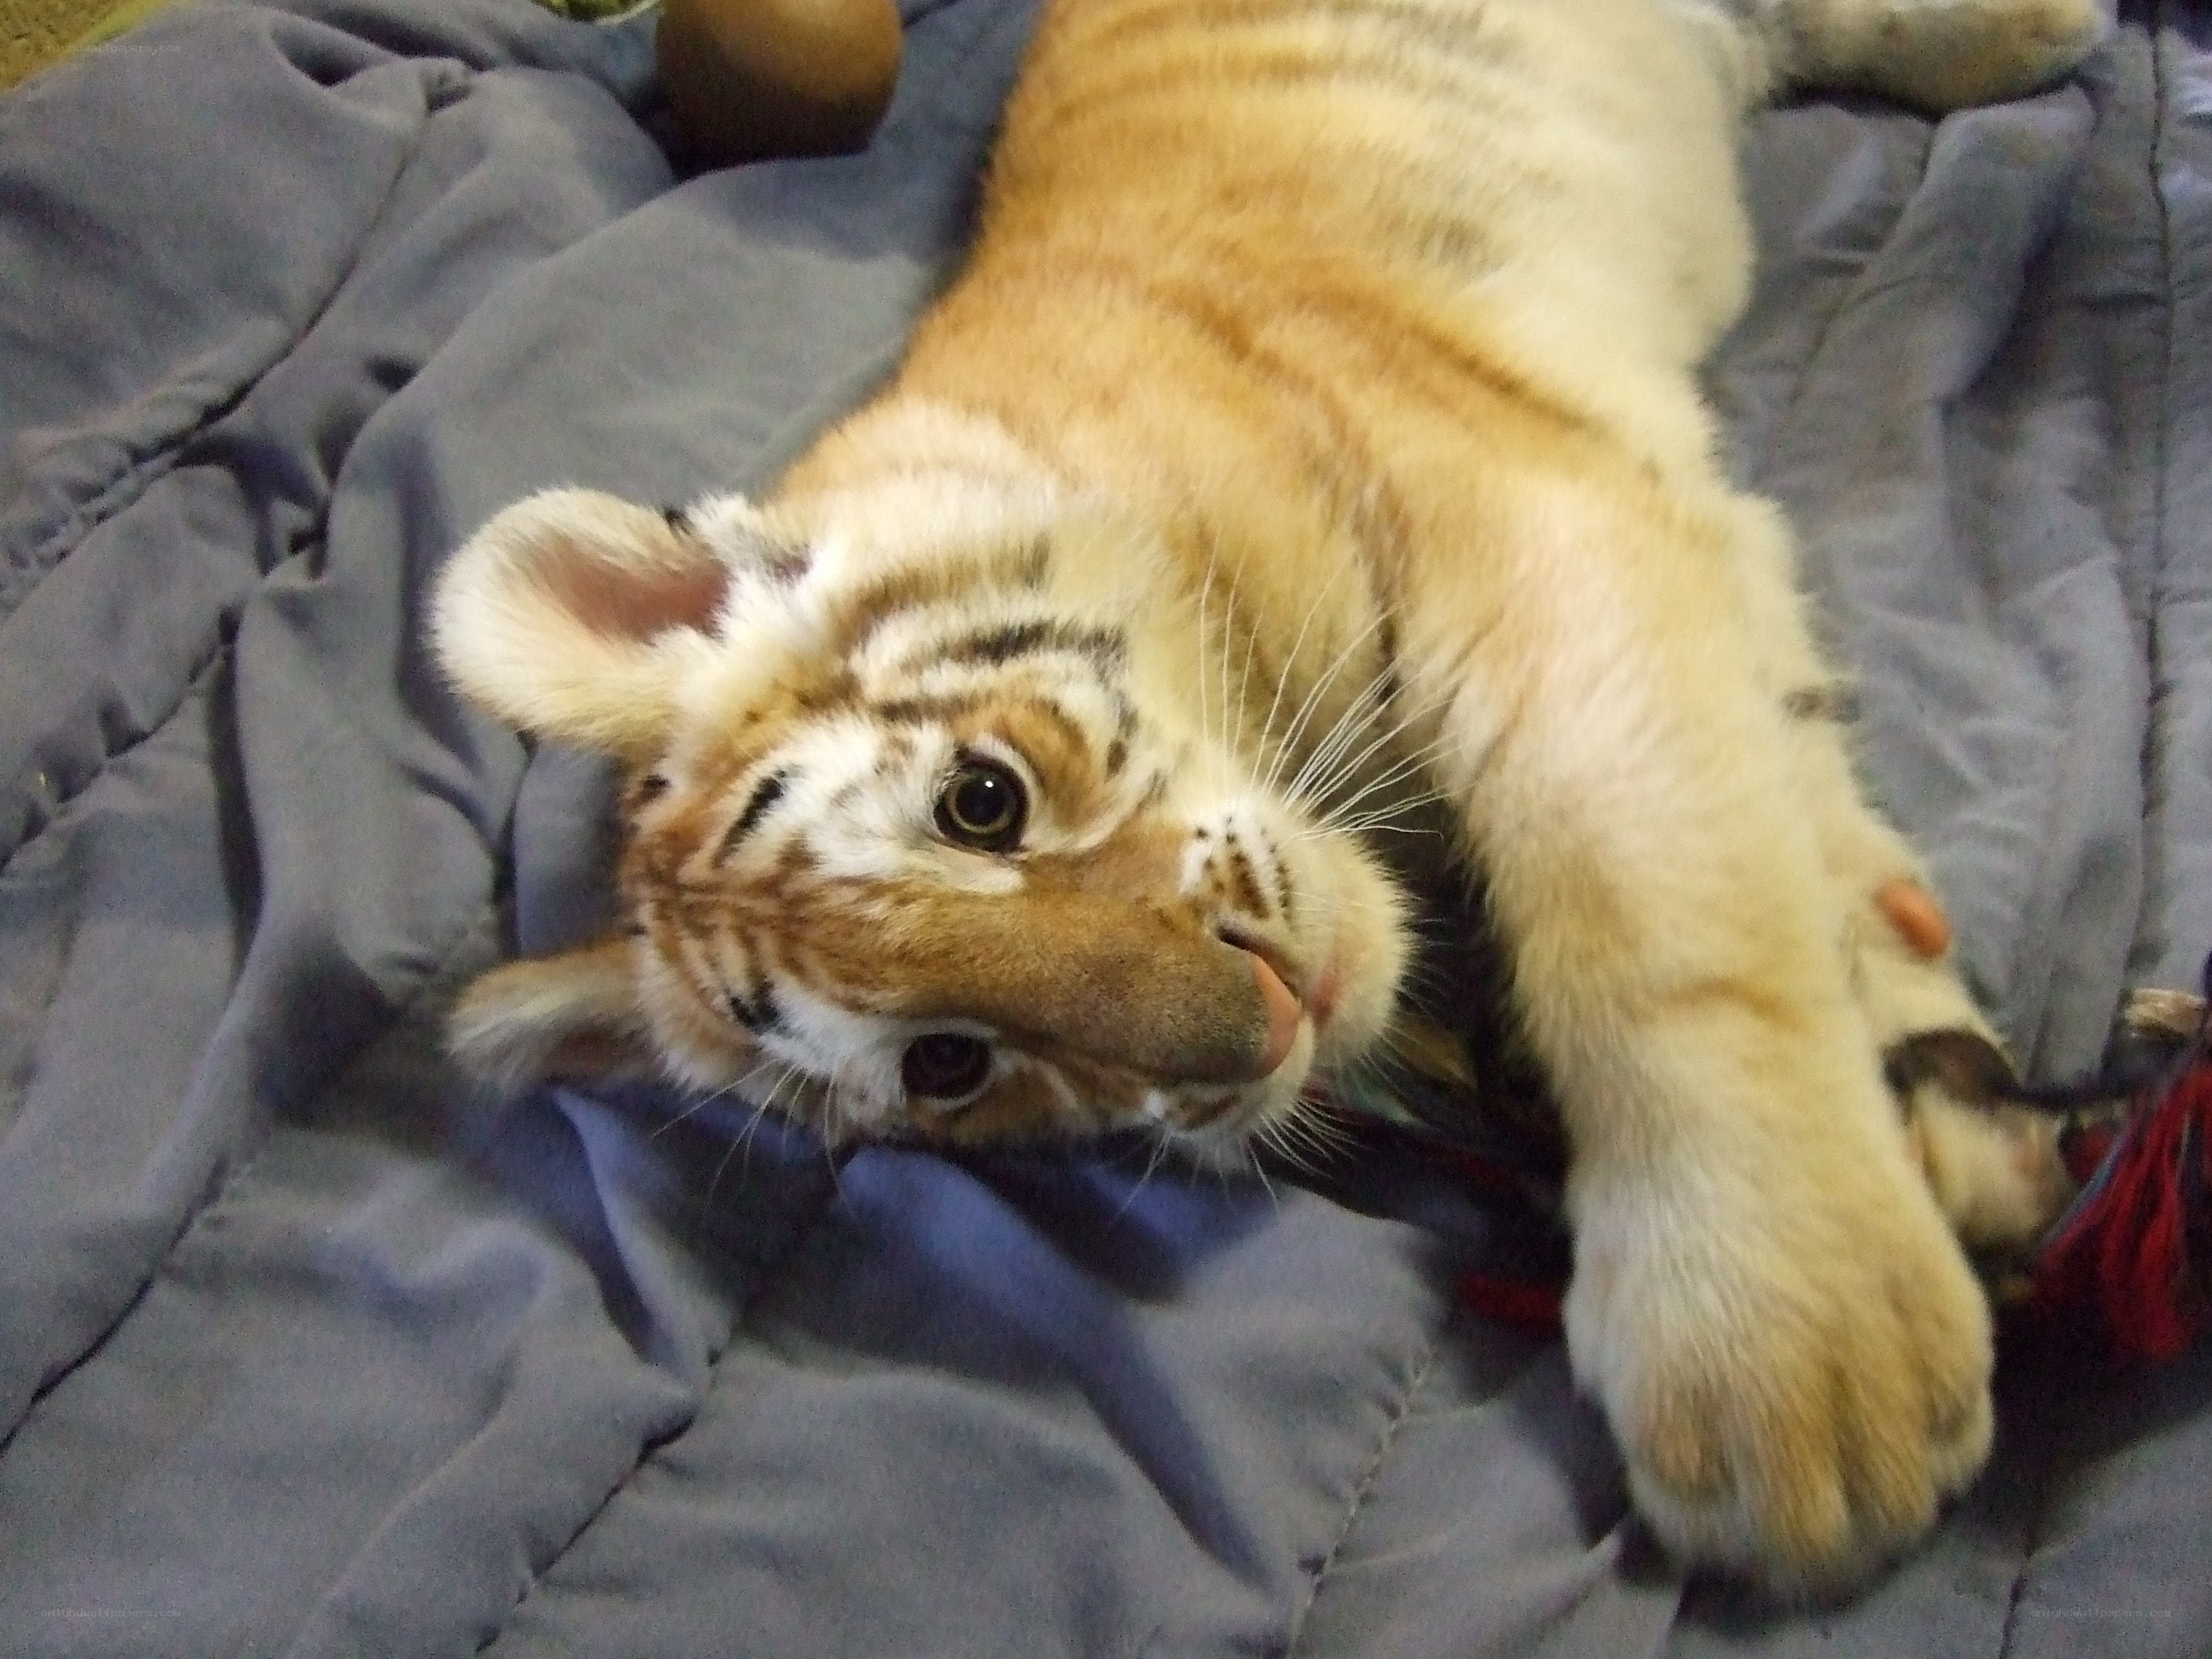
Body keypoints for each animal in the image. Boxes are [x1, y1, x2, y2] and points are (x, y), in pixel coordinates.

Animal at [429, 0, 2108, 1595]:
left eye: (983, 803)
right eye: (947, 1067)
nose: (1263, 1028)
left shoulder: (1535, 525)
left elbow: (1662, 905)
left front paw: (1798, 1378)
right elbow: (1793, 791)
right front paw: (1952, 1110)